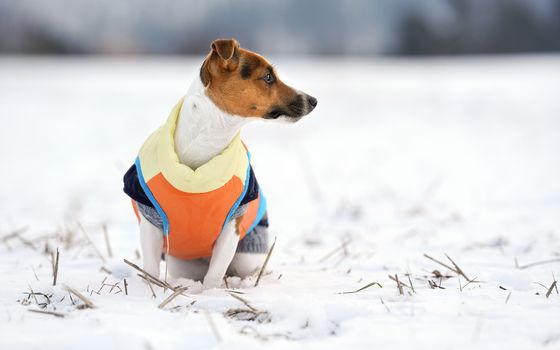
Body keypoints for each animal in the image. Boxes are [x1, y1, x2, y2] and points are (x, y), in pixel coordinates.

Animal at [123, 38, 318, 290]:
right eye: (268, 77)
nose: (313, 101)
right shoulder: (150, 223)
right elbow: (150, 267)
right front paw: (152, 289)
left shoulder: (232, 226)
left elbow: (215, 273)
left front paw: (210, 294)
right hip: (182, 263)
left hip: (245, 256)